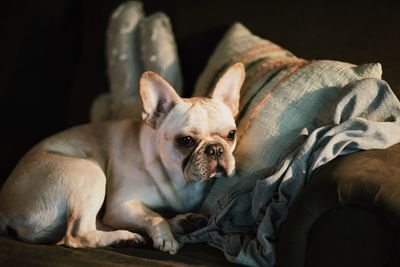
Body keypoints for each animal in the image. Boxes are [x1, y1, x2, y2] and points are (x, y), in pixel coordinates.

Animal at [0, 62, 244, 255]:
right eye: (186, 140)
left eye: (231, 134)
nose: (215, 149)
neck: (178, 177)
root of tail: (4, 208)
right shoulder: (121, 205)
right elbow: (154, 216)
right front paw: (166, 237)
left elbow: (155, 215)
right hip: (90, 172)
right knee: (78, 233)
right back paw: (124, 237)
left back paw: (182, 223)